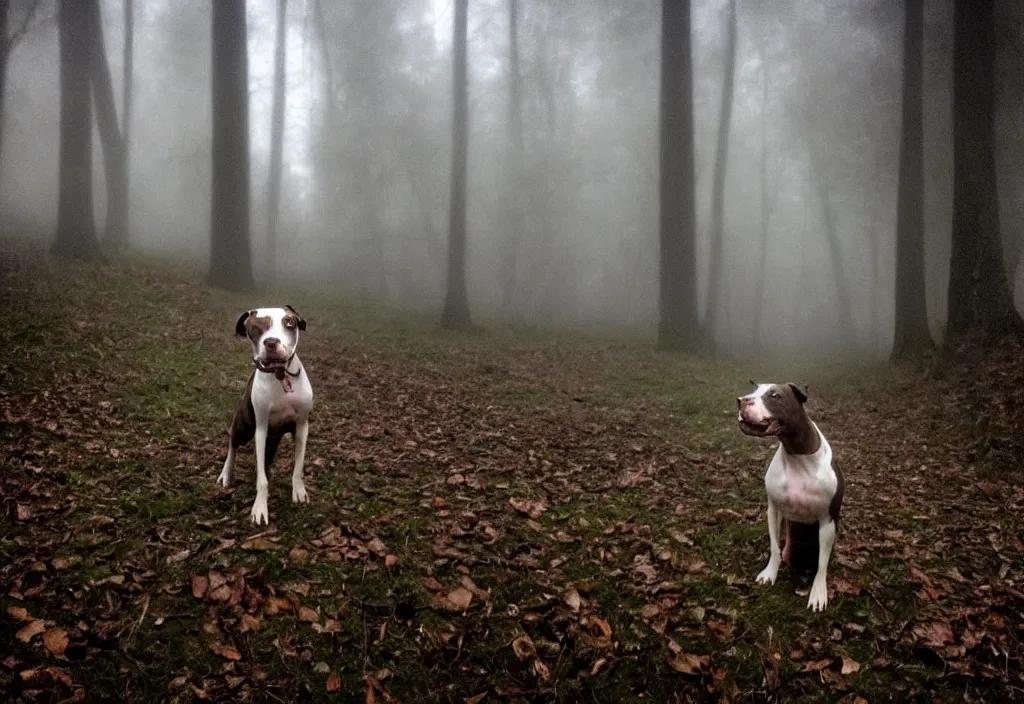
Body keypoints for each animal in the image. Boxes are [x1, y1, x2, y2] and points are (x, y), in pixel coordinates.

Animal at [221, 304, 317, 523]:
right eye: (255, 327)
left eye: (289, 322)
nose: (271, 342)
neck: (280, 375)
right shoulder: (261, 429)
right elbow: (261, 479)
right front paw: (260, 506)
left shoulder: (301, 426)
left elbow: (298, 466)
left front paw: (299, 490)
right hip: (244, 427)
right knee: (233, 444)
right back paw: (226, 474)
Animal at [737, 378, 847, 609]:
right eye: (754, 390)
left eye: (775, 395)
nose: (742, 401)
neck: (797, 453)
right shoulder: (774, 510)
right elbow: (774, 547)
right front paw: (770, 573)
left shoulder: (828, 520)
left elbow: (822, 562)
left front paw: (818, 591)